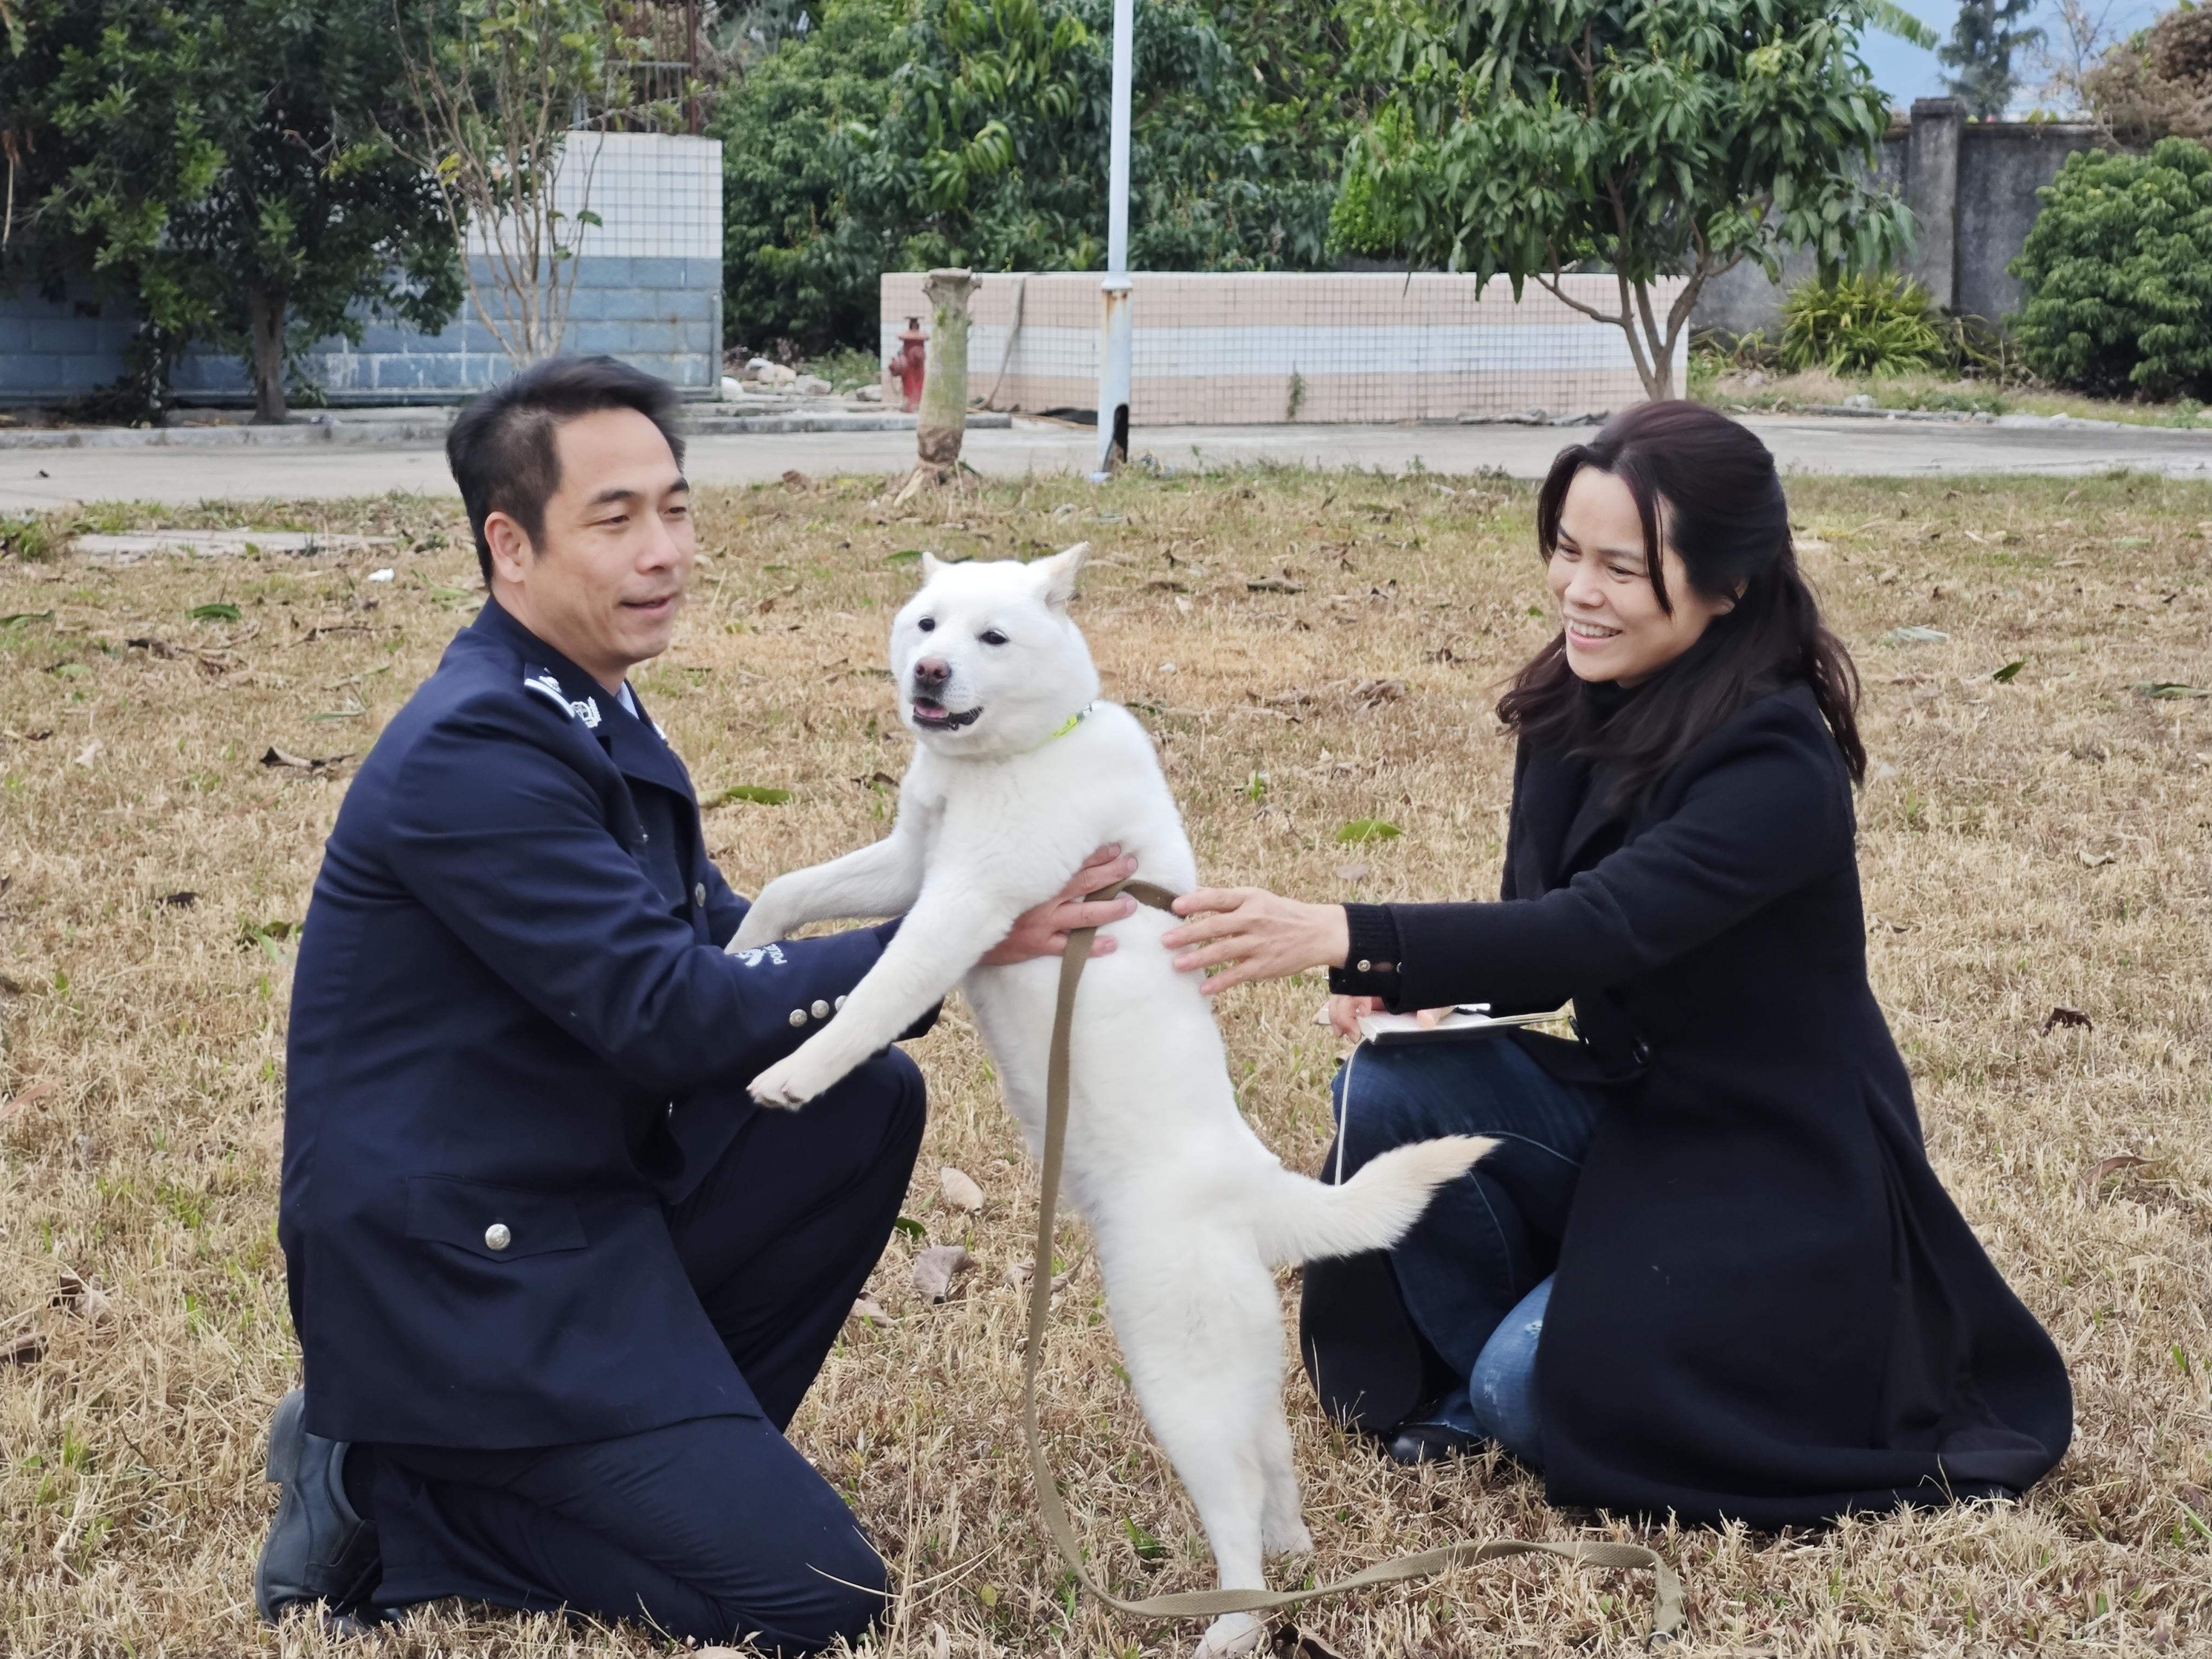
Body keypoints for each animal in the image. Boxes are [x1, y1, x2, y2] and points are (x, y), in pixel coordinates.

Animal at [734, 548, 1495, 1659]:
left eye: (992, 637)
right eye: (926, 623)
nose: (927, 672)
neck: (1005, 758)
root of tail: (1260, 1193)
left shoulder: (962, 902)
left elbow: (875, 996)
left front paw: (794, 1073)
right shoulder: (911, 861)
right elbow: (792, 889)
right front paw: (738, 945)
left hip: (1177, 1377)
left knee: (1236, 1526)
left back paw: (1229, 1625)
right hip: (1231, 1378)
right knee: (1272, 1474)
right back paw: (1293, 1548)